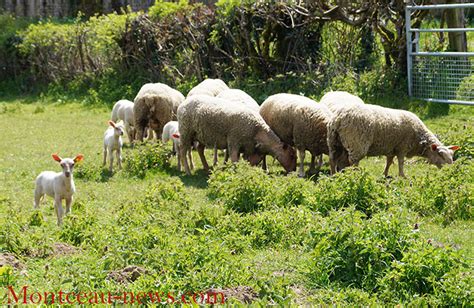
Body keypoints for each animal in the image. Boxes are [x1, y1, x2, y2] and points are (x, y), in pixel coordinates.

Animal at [326, 103, 460, 177]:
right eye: (440, 154)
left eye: (452, 155)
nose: (450, 170)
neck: (419, 138)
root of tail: (338, 118)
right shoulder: (402, 147)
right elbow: (401, 162)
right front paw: (402, 176)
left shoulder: (391, 148)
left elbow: (389, 162)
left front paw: (385, 174)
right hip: (357, 143)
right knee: (353, 162)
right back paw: (355, 175)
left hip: (334, 141)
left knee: (333, 159)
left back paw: (334, 175)